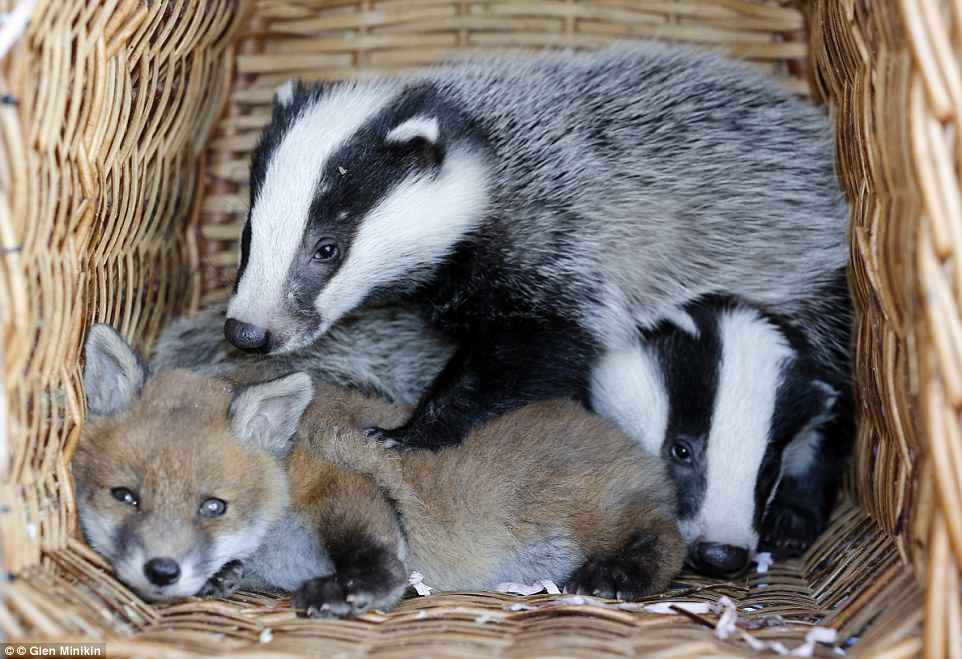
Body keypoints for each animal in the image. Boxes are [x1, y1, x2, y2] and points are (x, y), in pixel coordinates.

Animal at [72, 325, 685, 614]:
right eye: (125, 496)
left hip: (591, 518)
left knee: (668, 538)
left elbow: (378, 556)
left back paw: (618, 574)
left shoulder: (342, 486)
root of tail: (628, 442)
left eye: (212, 506)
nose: (161, 571)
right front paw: (223, 577)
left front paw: (354, 591)